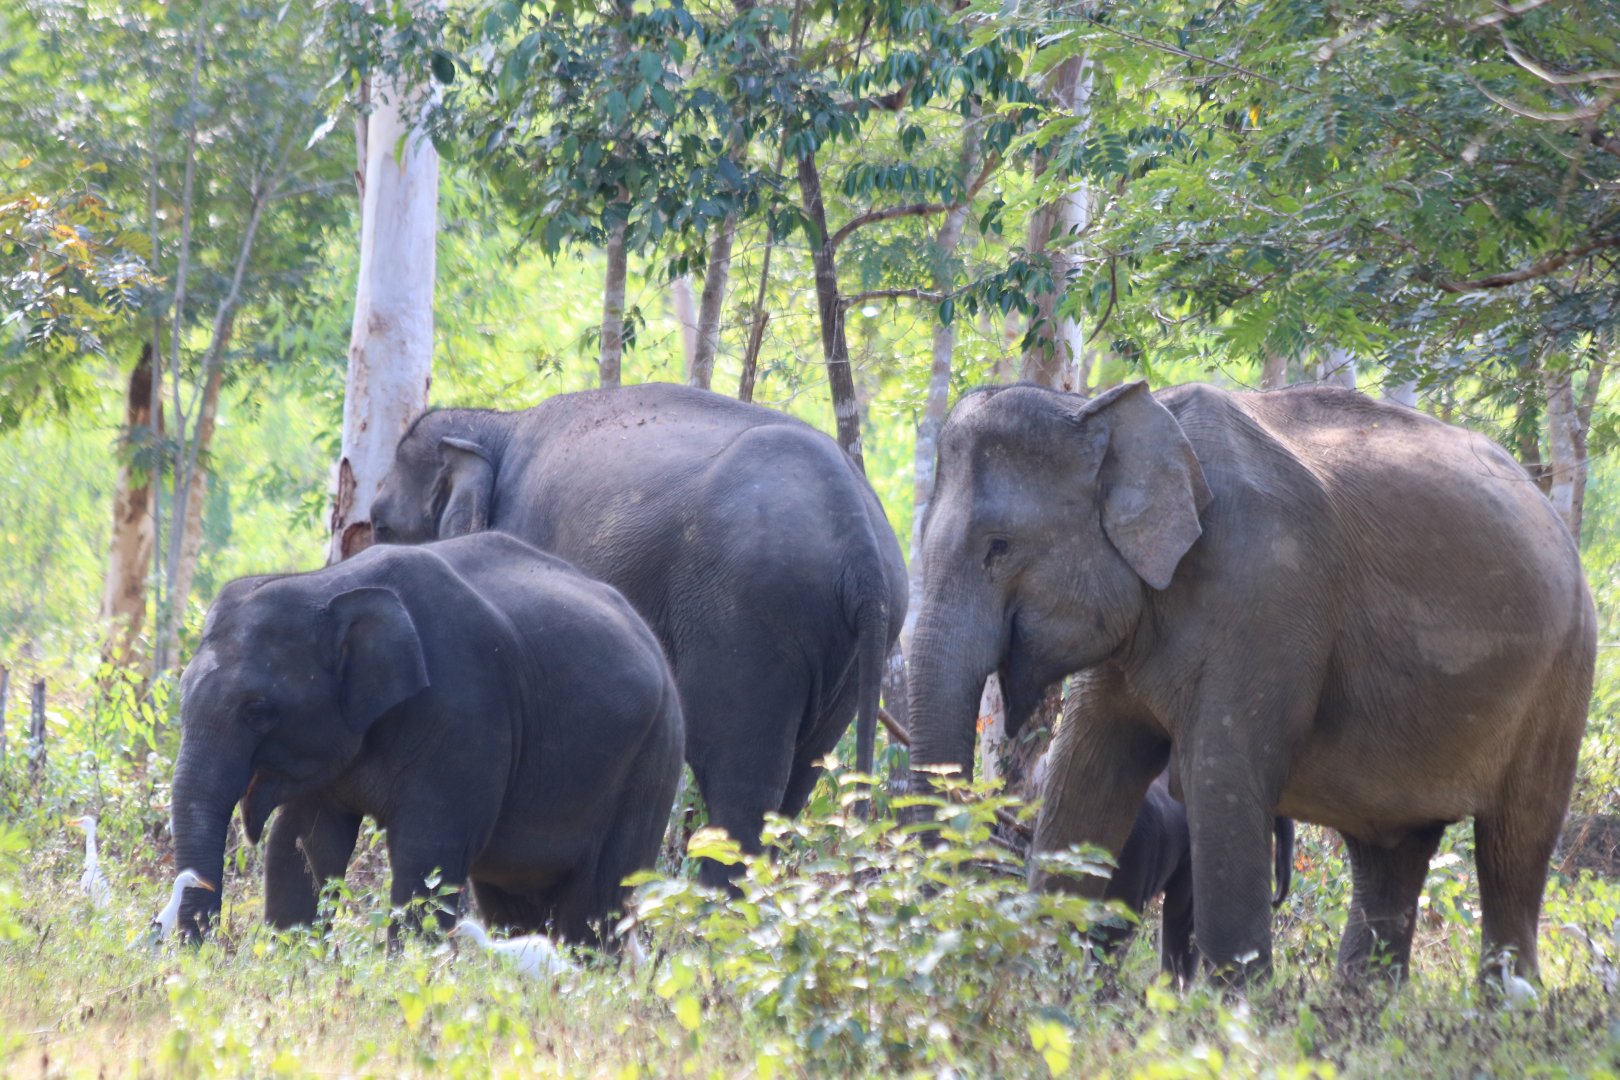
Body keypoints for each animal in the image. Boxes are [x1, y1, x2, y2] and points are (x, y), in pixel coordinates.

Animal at [170, 532, 684, 944]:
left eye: (258, 711)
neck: (330, 585)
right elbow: (301, 842)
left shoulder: (466, 712)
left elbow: (428, 853)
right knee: (513, 899)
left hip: (653, 758)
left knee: (598, 898)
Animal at [369, 383, 908, 885]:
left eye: (379, 527)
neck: (496, 426)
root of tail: (860, 545)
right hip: (851, 649)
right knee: (799, 777)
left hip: (750, 618)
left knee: (743, 783)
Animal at [905, 380, 1594, 984]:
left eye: (998, 546)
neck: (1116, 411)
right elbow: (1088, 771)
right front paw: (1036, 989)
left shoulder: (1264, 592)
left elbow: (1221, 775)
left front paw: (1233, 1019)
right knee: (1389, 856)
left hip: (1562, 677)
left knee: (1513, 846)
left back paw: (1506, 1008)